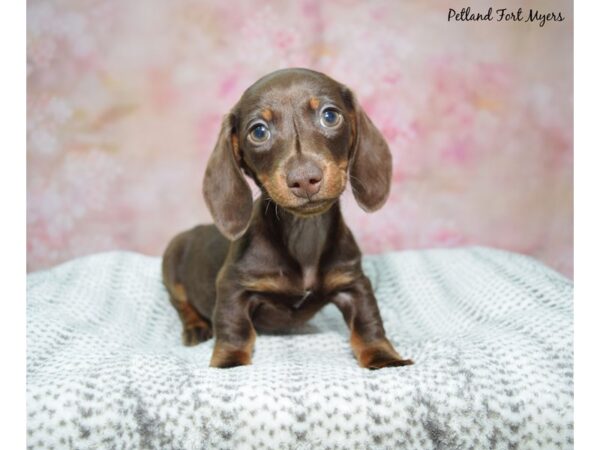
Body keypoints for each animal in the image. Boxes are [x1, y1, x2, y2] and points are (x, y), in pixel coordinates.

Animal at [162, 67, 414, 370]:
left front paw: (384, 357)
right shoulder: (233, 286)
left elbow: (368, 322)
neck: (303, 232)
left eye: (330, 116)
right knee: (181, 303)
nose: (304, 179)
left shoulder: (353, 281)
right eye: (259, 131)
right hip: (172, 262)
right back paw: (196, 327)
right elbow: (234, 327)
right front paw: (230, 362)